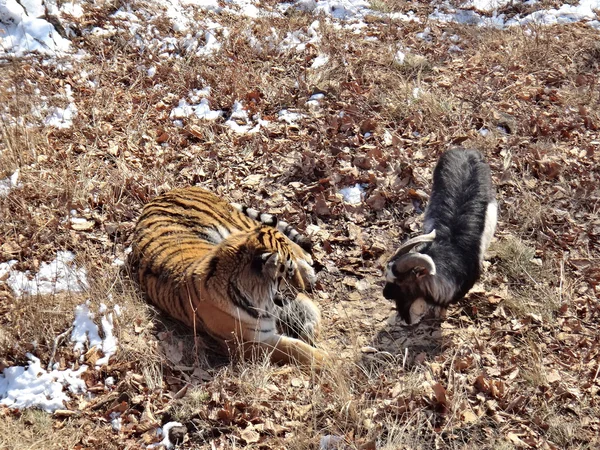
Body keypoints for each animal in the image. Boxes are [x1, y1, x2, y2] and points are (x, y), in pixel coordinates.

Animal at [129, 186, 326, 370]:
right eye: (289, 272)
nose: (301, 288)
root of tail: (168, 192)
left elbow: (311, 309)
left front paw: (311, 333)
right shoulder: (248, 344)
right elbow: (296, 349)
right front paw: (328, 360)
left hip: (237, 226)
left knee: (281, 235)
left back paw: (307, 265)